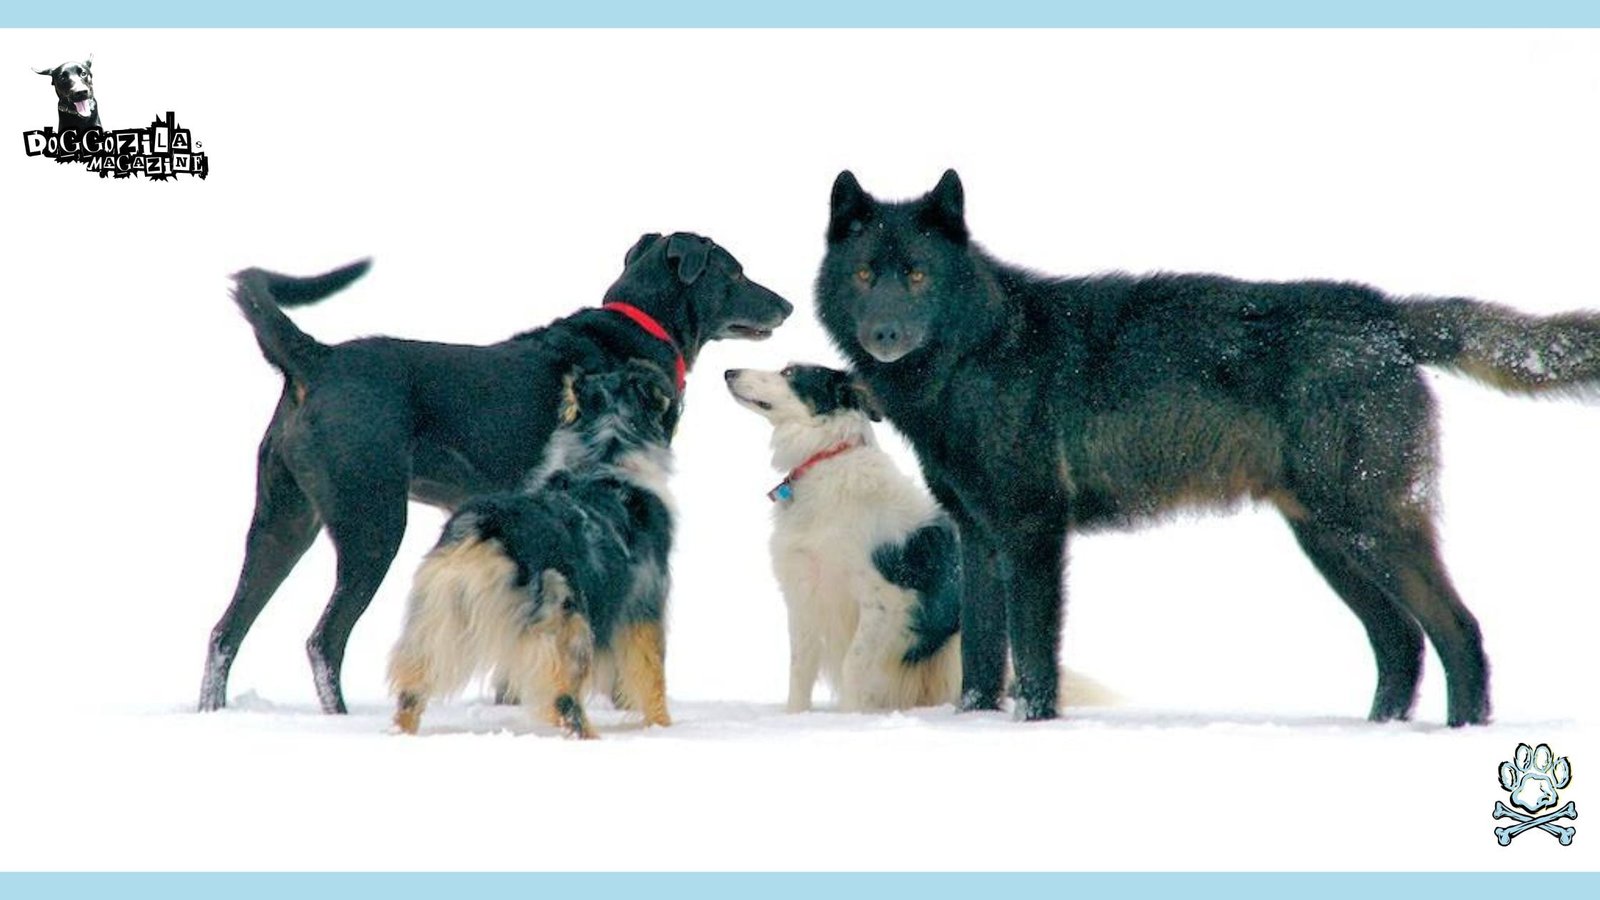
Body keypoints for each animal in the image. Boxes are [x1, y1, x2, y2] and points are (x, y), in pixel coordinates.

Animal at [206, 232, 793, 714]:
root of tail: (316, 358)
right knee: (323, 641)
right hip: (372, 525)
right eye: (735, 272)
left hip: (281, 525)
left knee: (223, 633)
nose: (787, 304)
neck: (637, 327)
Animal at [819, 169, 1593, 730]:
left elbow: (1033, 661)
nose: (884, 334)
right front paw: (970, 725)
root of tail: (1384, 314)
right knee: (1401, 643)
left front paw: (1030, 728)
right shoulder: (978, 537)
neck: (978, 354)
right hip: (1328, 542)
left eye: (917, 275)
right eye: (865, 275)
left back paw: (1459, 735)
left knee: (1458, 630)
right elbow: (981, 660)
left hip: (1370, 529)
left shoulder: (1034, 534)